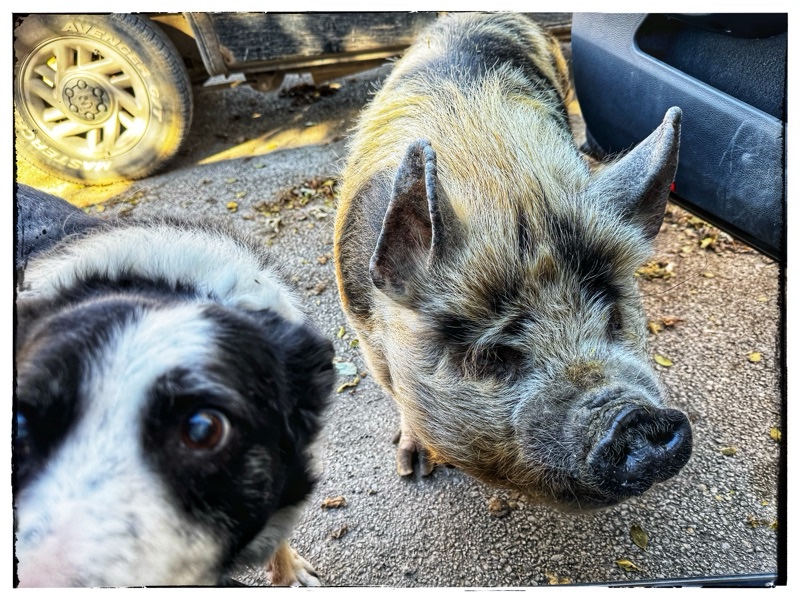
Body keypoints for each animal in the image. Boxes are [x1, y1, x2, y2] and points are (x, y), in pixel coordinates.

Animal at [333, 12, 691, 510]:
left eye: (614, 317)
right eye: (493, 355)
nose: (636, 417)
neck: (503, 187)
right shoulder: (362, 327)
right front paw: (413, 469)